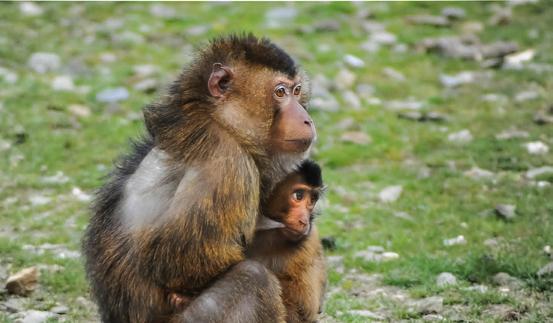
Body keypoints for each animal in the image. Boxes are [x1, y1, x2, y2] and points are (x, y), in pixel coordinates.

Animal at [166, 161, 326, 322]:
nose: (304, 221)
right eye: (298, 196)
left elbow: (299, 312)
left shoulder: (309, 242)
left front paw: (183, 299)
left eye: (312, 200)